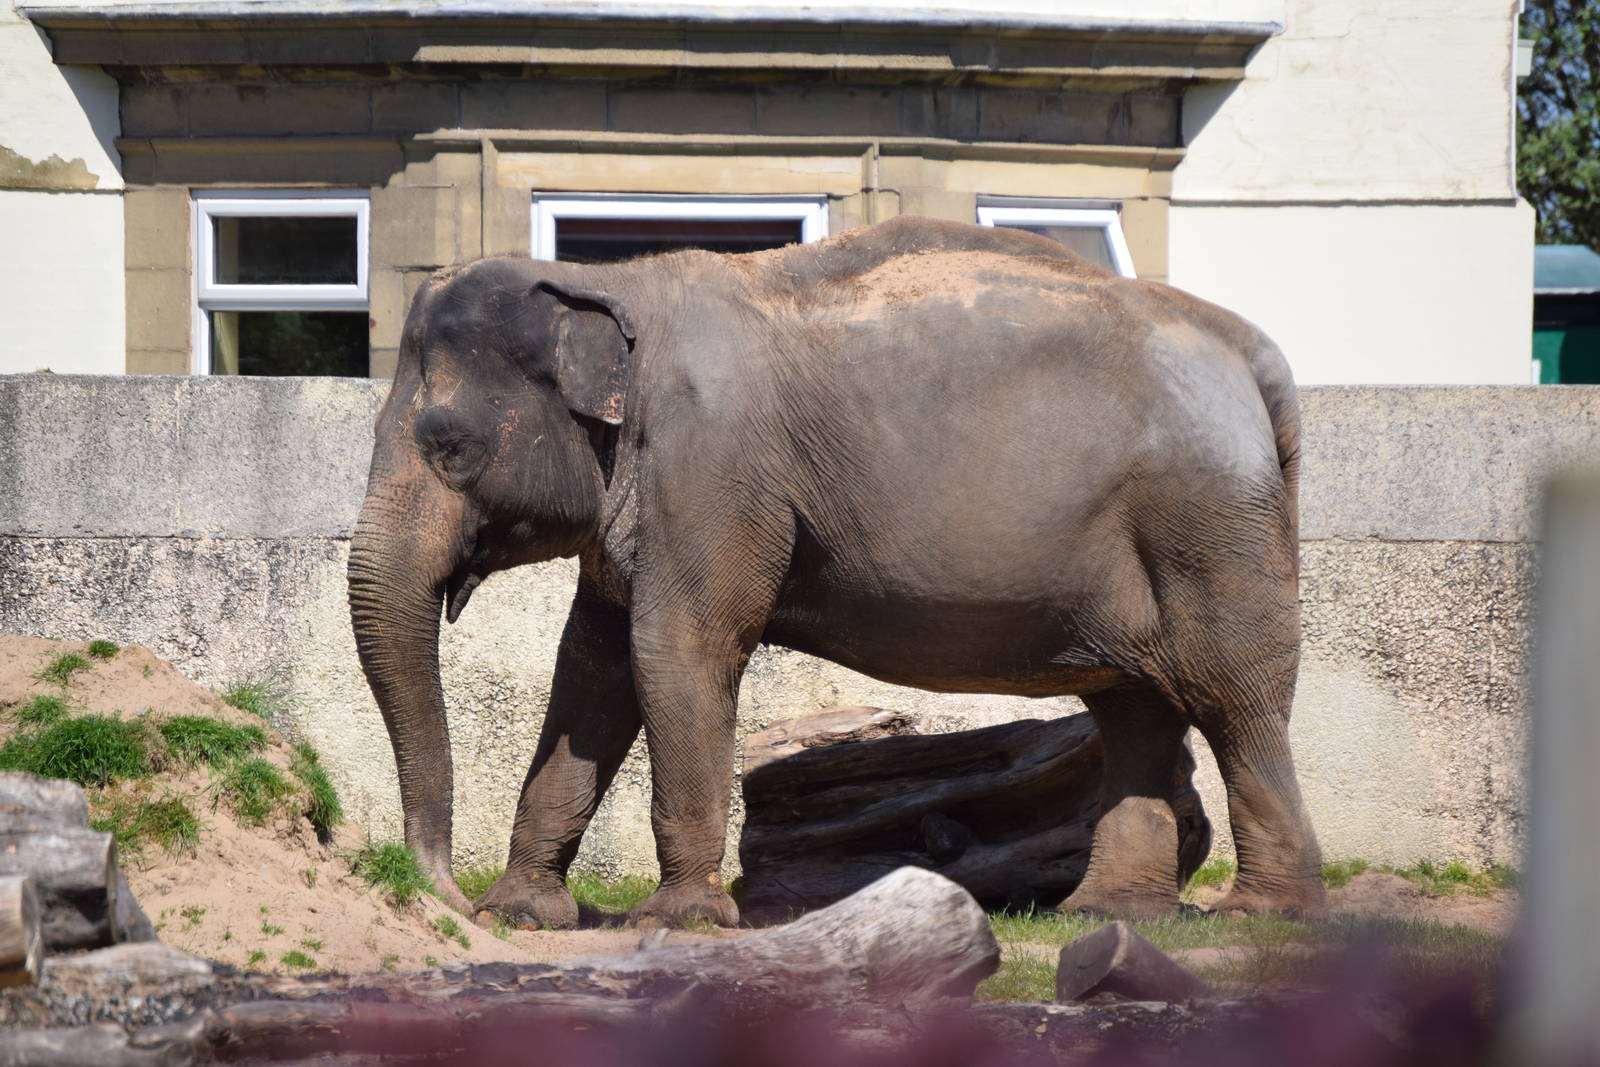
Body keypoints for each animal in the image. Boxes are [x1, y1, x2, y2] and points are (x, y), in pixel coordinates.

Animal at [347, 214, 1326, 929]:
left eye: (450, 446)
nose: (445, 895)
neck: (616, 284)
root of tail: (1254, 353)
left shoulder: (713, 468)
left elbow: (677, 650)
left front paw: (679, 921)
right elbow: (588, 673)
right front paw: (523, 914)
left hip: (1205, 519)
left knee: (1234, 694)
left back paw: (1260, 914)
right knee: (1134, 707)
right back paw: (1109, 915)